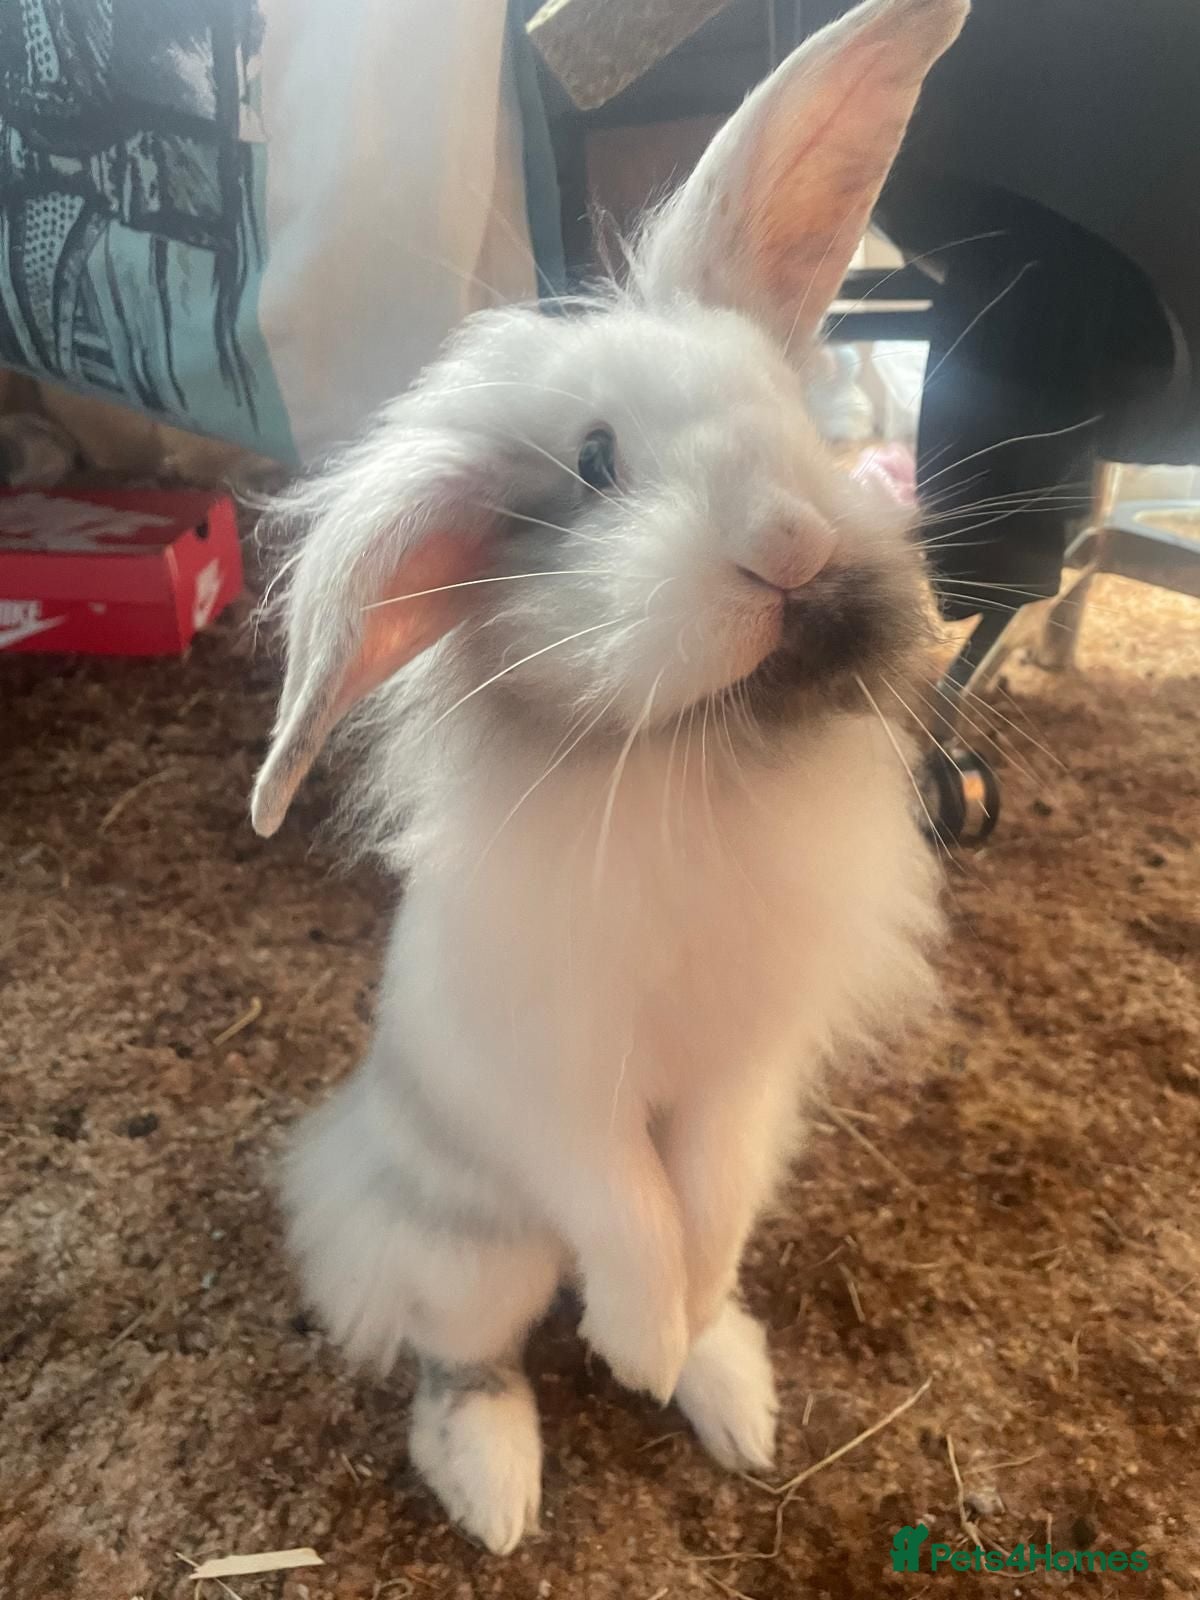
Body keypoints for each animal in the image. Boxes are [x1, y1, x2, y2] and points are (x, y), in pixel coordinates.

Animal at [251, 0, 968, 1555]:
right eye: (592, 464)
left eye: (789, 411)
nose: (787, 543)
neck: (697, 762)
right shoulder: (558, 1090)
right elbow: (629, 1211)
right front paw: (635, 1345)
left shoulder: (748, 1074)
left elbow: (697, 1202)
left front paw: (673, 1337)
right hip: (471, 1247)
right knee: (462, 1350)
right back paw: (498, 1488)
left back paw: (730, 1387)